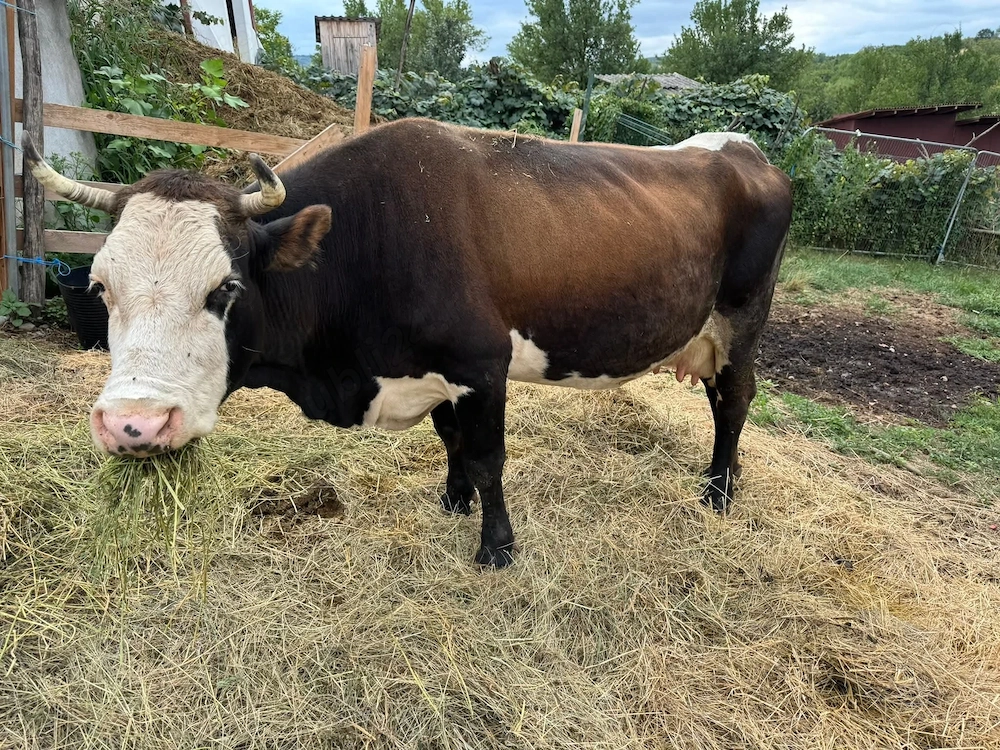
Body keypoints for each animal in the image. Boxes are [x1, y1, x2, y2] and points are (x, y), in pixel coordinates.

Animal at [22, 117, 792, 567]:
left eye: (225, 288)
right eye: (101, 288)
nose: (135, 425)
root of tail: (741, 149)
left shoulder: (482, 363)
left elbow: (486, 457)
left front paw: (495, 547)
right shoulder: (433, 370)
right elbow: (450, 441)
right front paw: (453, 502)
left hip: (741, 319)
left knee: (735, 400)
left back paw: (719, 490)